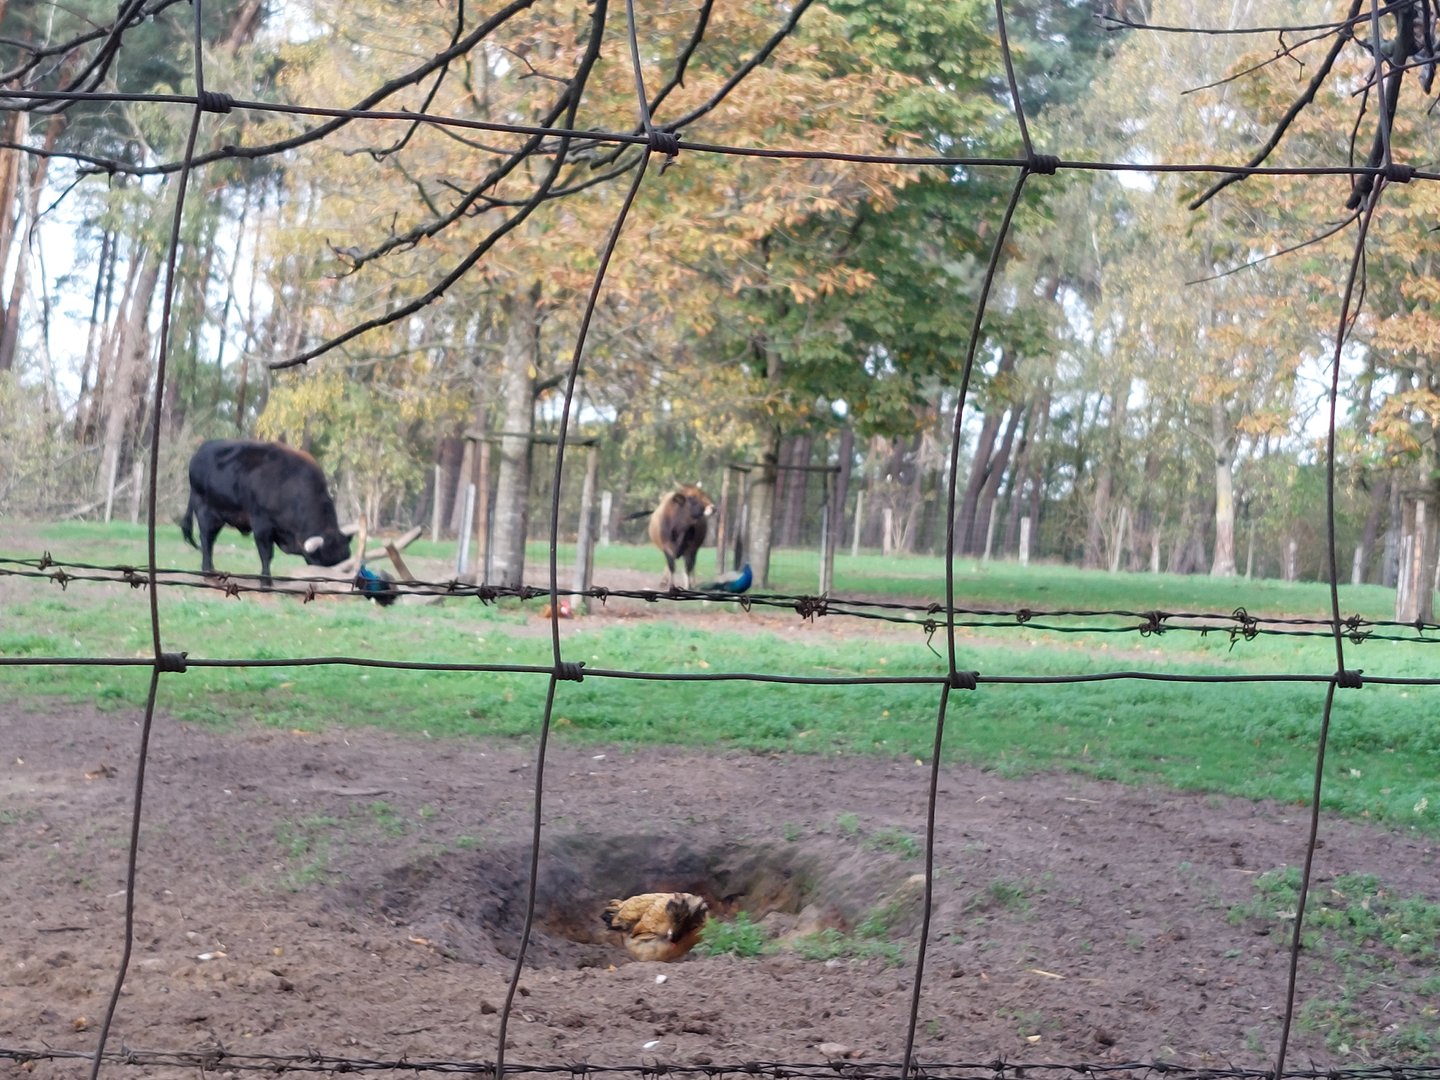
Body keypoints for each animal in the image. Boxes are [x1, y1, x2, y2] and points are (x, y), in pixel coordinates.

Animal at [180, 439, 352, 589]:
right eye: (322, 565)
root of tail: (201, 451)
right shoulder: (262, 525)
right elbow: (266, 554)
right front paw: (265, 581)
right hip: (205, 512)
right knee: (206, 540)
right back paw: (208, 574)